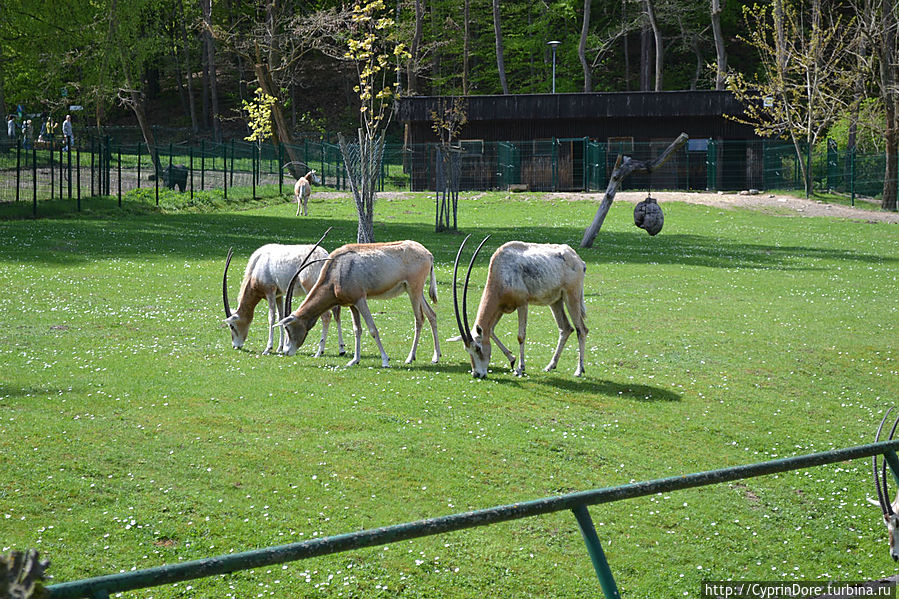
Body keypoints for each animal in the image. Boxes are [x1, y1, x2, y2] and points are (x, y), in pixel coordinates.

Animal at [276, 241, 442, 368]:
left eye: (288, 328)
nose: (286, 351)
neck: (337, 270)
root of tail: (428, 254)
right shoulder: (352, 304)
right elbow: (357, 330)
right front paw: (354, 360)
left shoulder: (360, 300)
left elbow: (372, 329)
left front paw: (385, 360)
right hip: (415, 292)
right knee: (431, 315)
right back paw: (436, 357)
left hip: (414, 290)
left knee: (419, 319)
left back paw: (409, 358)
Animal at [450, 236, 592, 380]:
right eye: (467, 350)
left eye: (478, 348)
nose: (477, 374)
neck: (501, 270)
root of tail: (578, 260)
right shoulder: (500, 308)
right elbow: (490, 331)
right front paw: (512, 359)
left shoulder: (522, 304)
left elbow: (520, 336)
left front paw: (520, 368)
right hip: (556, 301)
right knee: (566, 328)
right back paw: (550, 366)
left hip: (572, 297)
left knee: (581, 329)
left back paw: (579, 370)